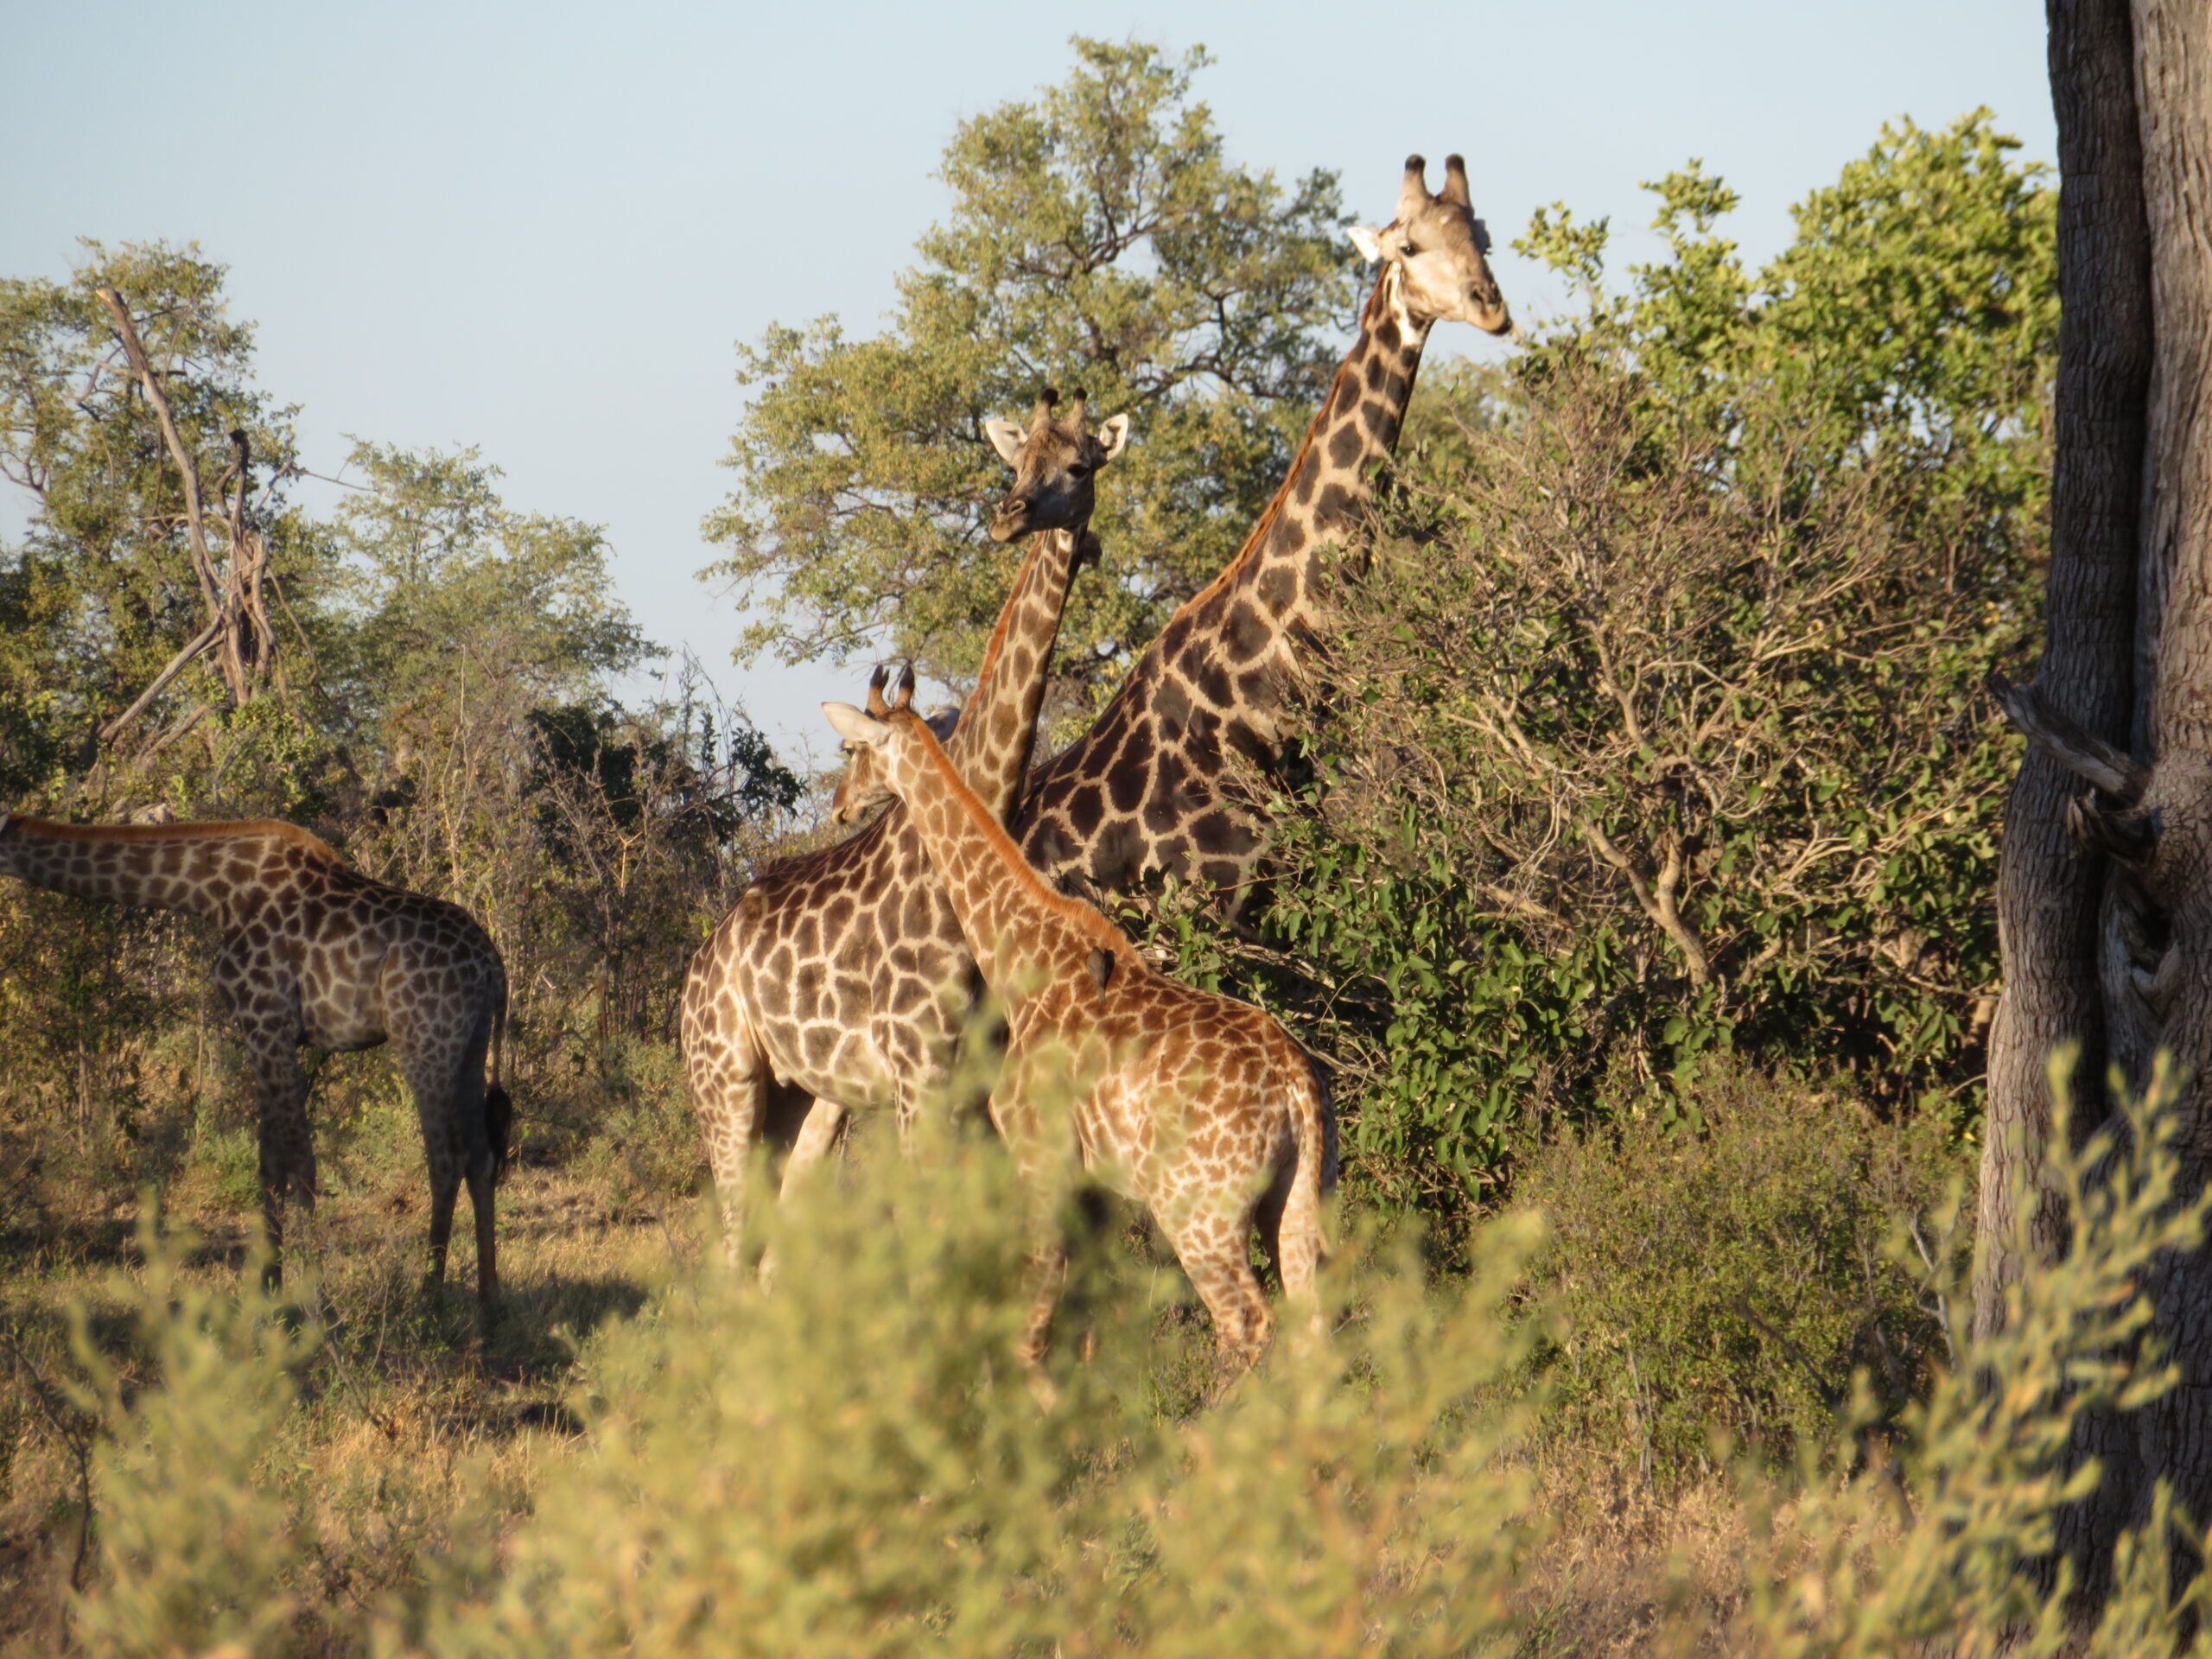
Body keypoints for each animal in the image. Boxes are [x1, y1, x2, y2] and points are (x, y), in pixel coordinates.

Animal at [0, 818, 508, 1327]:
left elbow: (301, 1161)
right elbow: (270, 1163)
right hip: (471, 1045)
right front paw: (268, 1294)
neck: (211, 892)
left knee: (445, 1158)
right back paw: (487, 1308)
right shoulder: (258, 1032)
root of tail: (493, 967)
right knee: (481, 1158)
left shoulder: (267, 1021)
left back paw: (429, 1300)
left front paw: (319, 1307)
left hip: (423, 1039)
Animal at [681, 393, 1132, 1274]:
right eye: (1014, 461)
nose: (1008, 516)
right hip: (727, 1085)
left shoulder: (970, 1079)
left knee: (775, 1248)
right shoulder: (918, 1073)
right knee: (731, 1246)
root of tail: (698, 970)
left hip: (803, 1097)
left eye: (1080, 465)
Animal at [827, 668, 1327, 1380]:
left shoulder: (1038, 1158)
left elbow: (1035, 1316)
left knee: (1246, 1324)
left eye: (852, 750)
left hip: (1198, 1211)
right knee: (1312, 1324)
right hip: (1300, 1194)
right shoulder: (1095, 1183)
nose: (840, 805)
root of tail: (1295, 1085)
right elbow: (1085, 1313)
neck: (1023, 960)